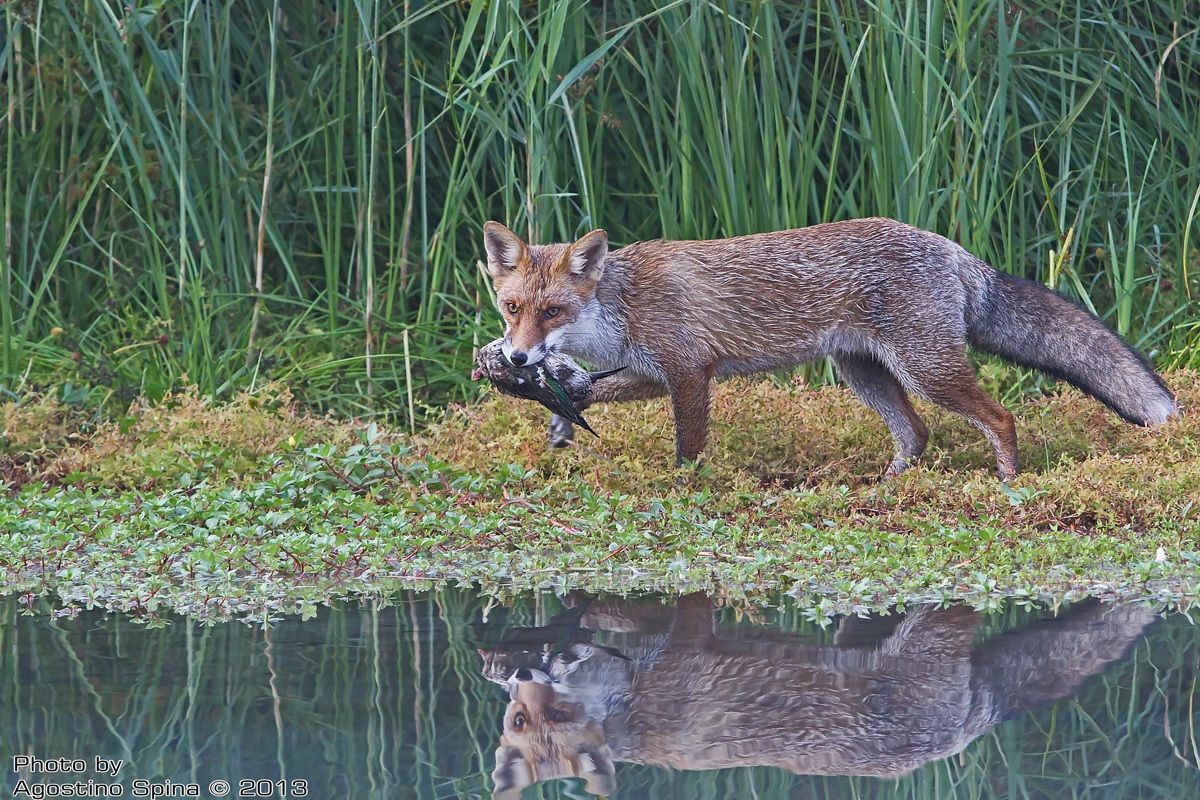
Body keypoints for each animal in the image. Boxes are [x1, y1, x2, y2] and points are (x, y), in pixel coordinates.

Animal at [481, 594, 1156, 798]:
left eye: (560, 714)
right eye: (519, 720)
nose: (515, 669)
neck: (633, 697)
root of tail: (966, 731)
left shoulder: (686, 643)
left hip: (933, 621)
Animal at [482, 217, 1177, 479]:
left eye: (552, 311)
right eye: (513, 309)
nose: (515, 359)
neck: (619, 308)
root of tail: (954, 250)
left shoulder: (690, 373)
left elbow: (688, 451)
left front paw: (685, 494)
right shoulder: (656, 373)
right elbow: (592, 394)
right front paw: (561, 410)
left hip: (927, 370)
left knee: (1001, 418)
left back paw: (1006, 485)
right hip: (863, 373)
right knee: (916, 434)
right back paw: (887, 490)